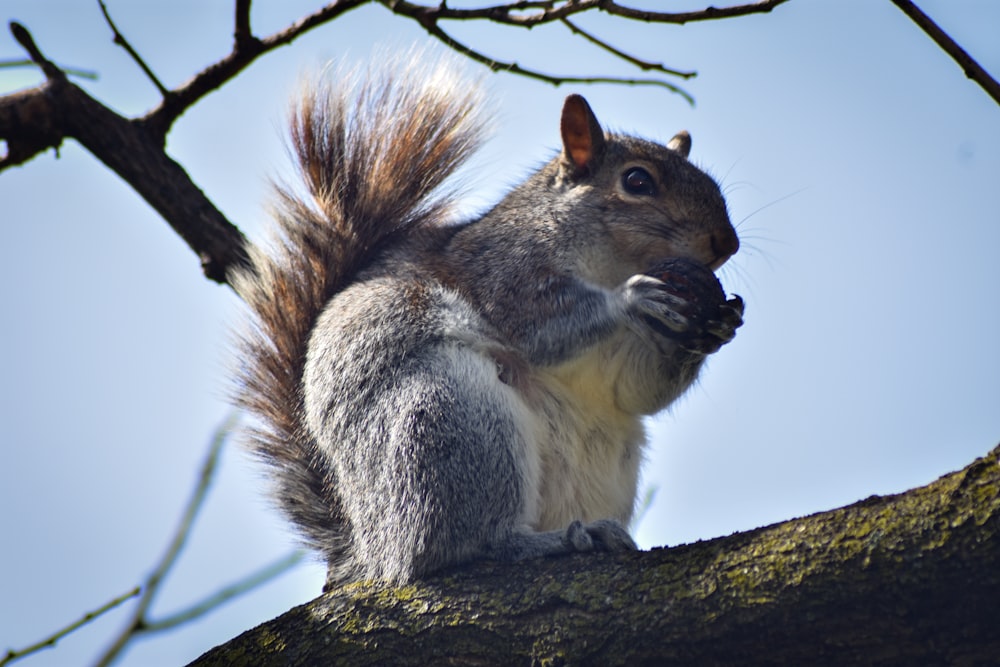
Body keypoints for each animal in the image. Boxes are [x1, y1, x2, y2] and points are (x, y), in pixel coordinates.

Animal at [229, 60, 744, 588]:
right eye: (637, 181)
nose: (726, 242)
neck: (609, 263)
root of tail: (376, 550)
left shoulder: (619, 366)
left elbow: (637, 389)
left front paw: (718, 326)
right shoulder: (500, 271)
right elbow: (535, 327)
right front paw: (633, 297)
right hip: (450, 418)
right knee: (465, 545)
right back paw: (545, 542)